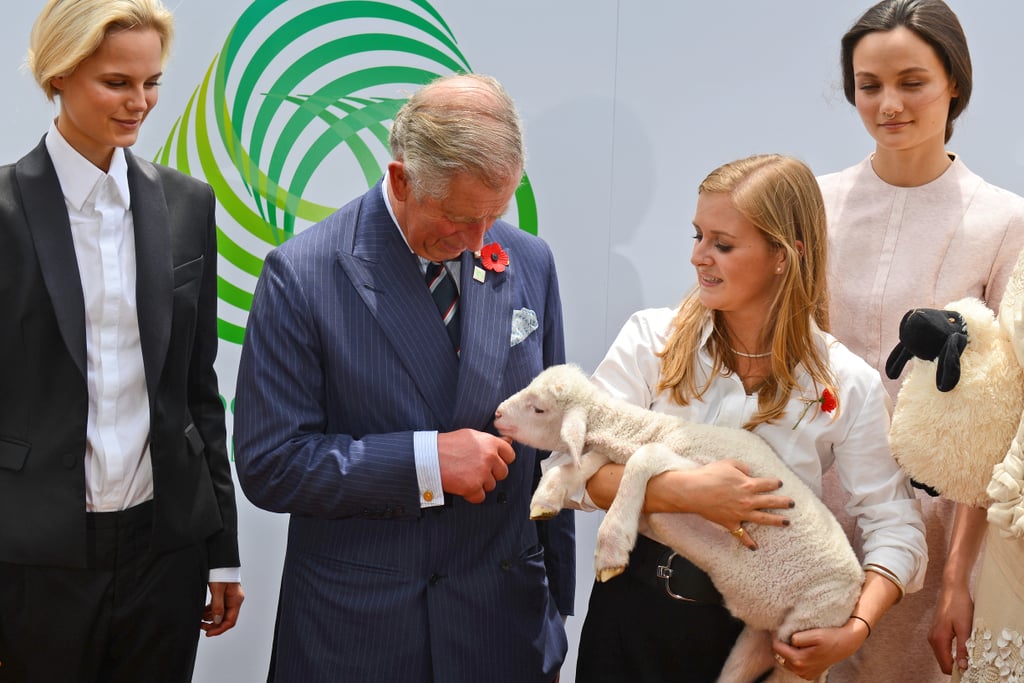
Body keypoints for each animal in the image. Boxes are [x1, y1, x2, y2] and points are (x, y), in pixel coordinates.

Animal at [491, 362, 860, 683]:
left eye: (538, 409)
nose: (497, 414)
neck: (663, 432)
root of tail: (856, 584)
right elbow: (592, 461)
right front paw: (548, 495)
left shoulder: (703, 469)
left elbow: (643, 457)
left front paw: (610, 549)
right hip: (761, 637)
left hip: (809, 628)